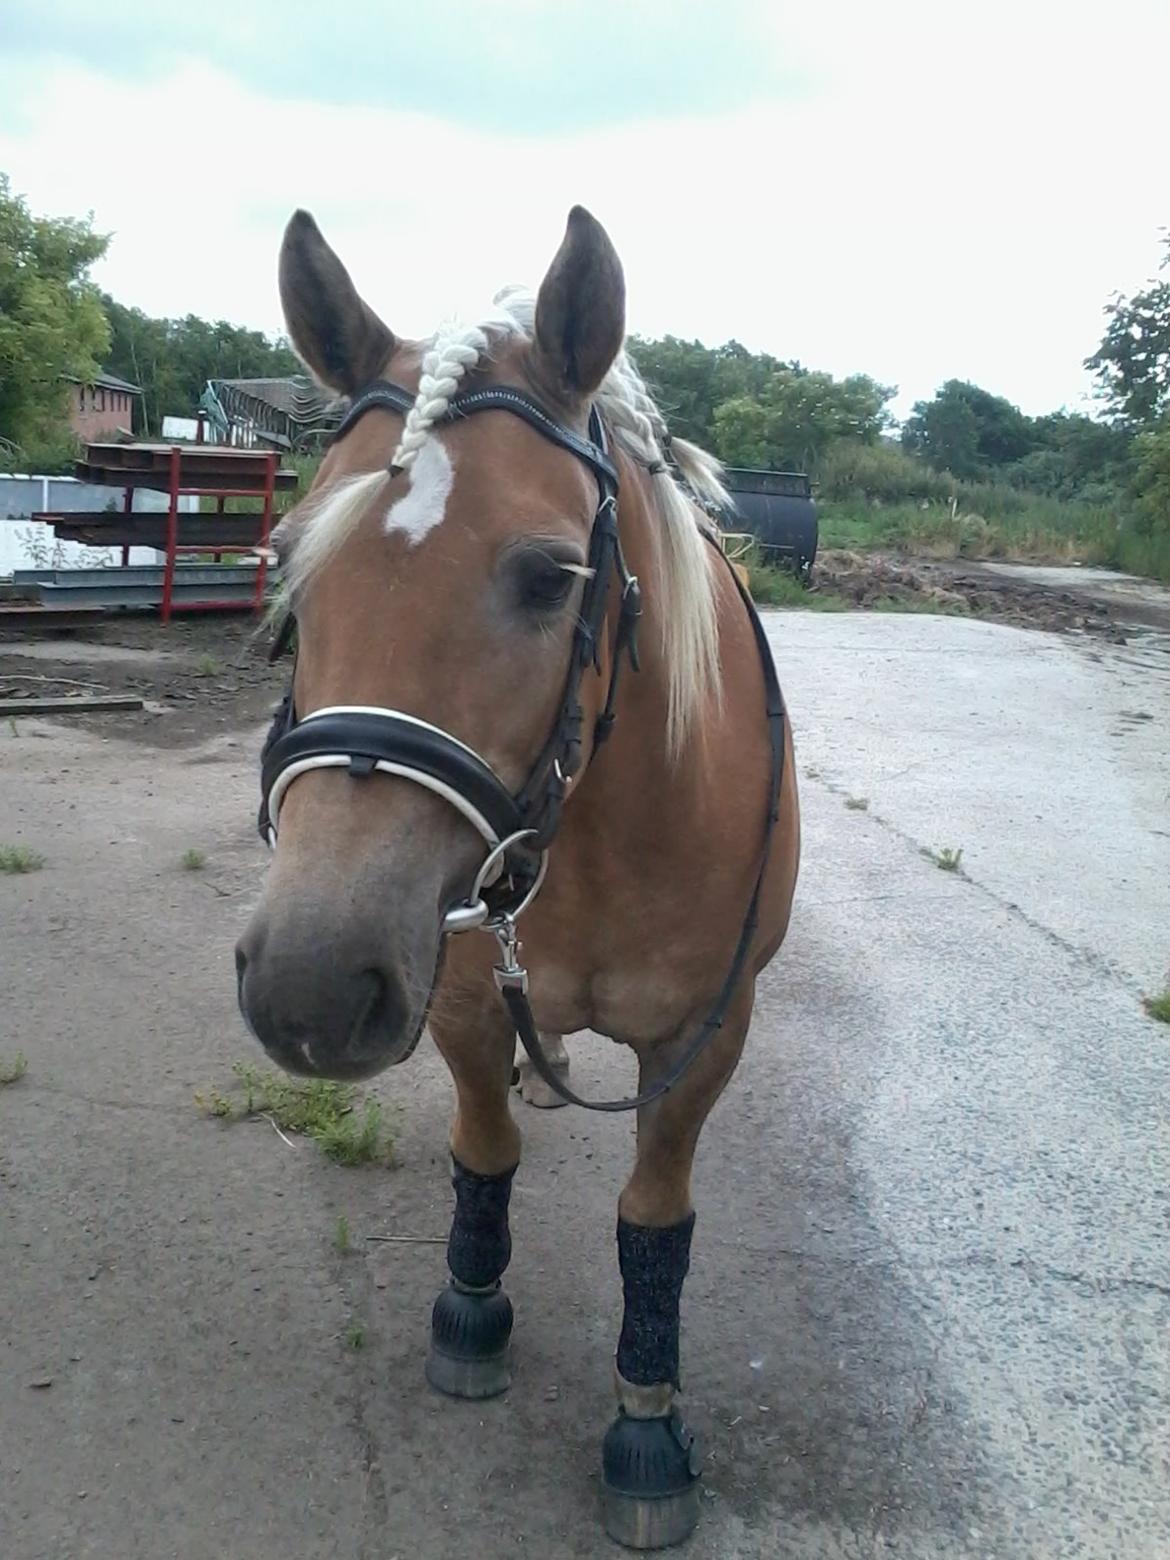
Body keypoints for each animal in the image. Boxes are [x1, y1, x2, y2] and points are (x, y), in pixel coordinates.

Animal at [238, 204, 804, 1547]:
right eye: (289, 555)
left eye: (551, 577)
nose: (308, 987)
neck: (596, 828)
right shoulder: (451, 993)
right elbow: (484, 1148)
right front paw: (472, 1312)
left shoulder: (707, 1040)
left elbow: (655, 1217)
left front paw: (648, 1424)